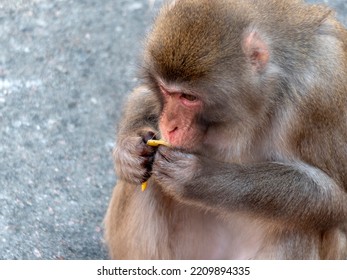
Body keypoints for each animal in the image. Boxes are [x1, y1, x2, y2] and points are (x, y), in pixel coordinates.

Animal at [104, 0, 347, 260]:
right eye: (165, 90)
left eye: (189, 97)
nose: (169, 126)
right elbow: (145, 97)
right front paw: (128, 151)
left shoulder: (319, 92)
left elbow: (335, 199)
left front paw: (197, 176)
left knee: (302, 222)